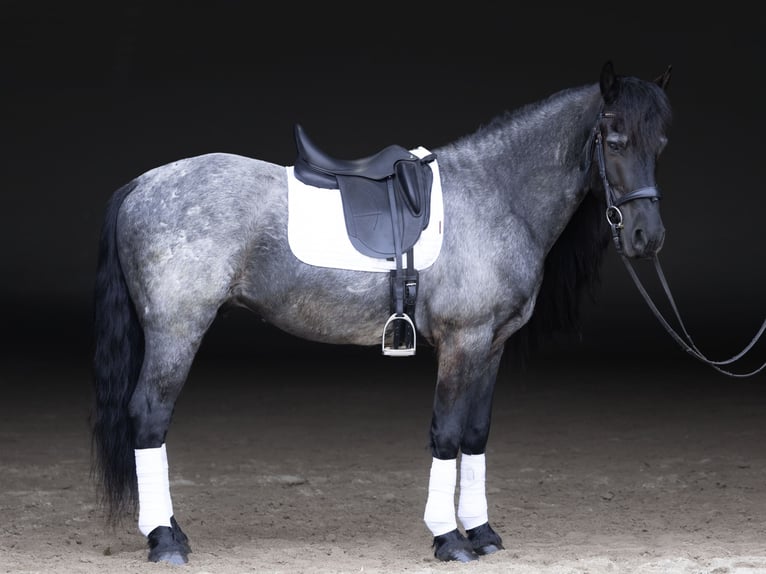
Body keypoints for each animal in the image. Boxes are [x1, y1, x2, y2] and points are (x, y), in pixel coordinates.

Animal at [91, 60, 673, 565]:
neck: (494, 194)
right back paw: (165, 539)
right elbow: (446, 433)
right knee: (149, 416)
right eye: (615, 142)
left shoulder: (492, 345)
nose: (647, 238)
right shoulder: (463, 342)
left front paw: (481, 531)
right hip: (176, 331)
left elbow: (475, 434)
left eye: (662, 144)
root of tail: (142, 184)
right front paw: (448, 538)